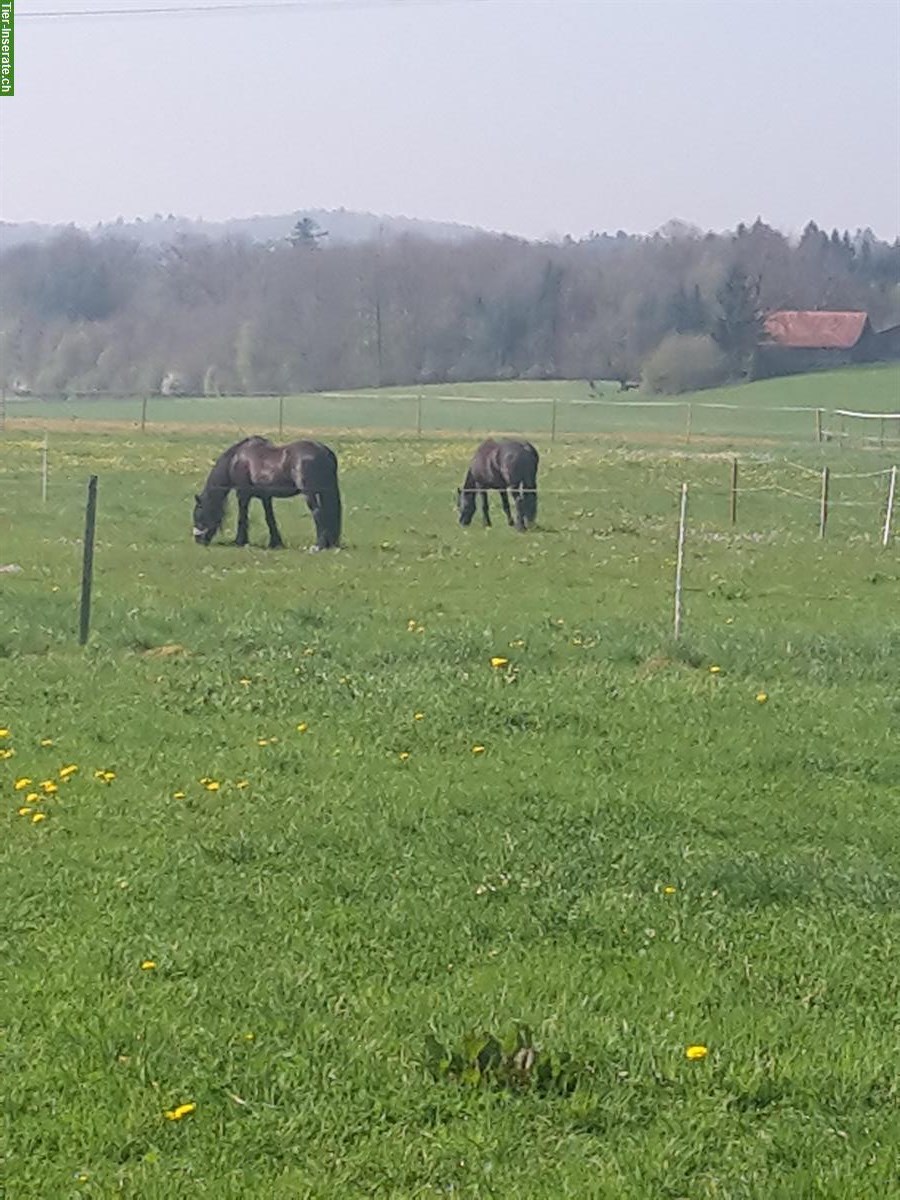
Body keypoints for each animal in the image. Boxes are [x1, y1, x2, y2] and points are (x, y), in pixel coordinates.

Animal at [192, 436, 342, 551]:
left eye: (198, 513)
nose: (198, 540)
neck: (236, 460)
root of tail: (324, 451)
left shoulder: (243, 494)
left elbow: (242, 517)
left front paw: (240, 541)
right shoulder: (266, 497)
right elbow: (270, 518)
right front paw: (275, 543)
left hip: (310, 493)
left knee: (318, 512)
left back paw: (318, 546)